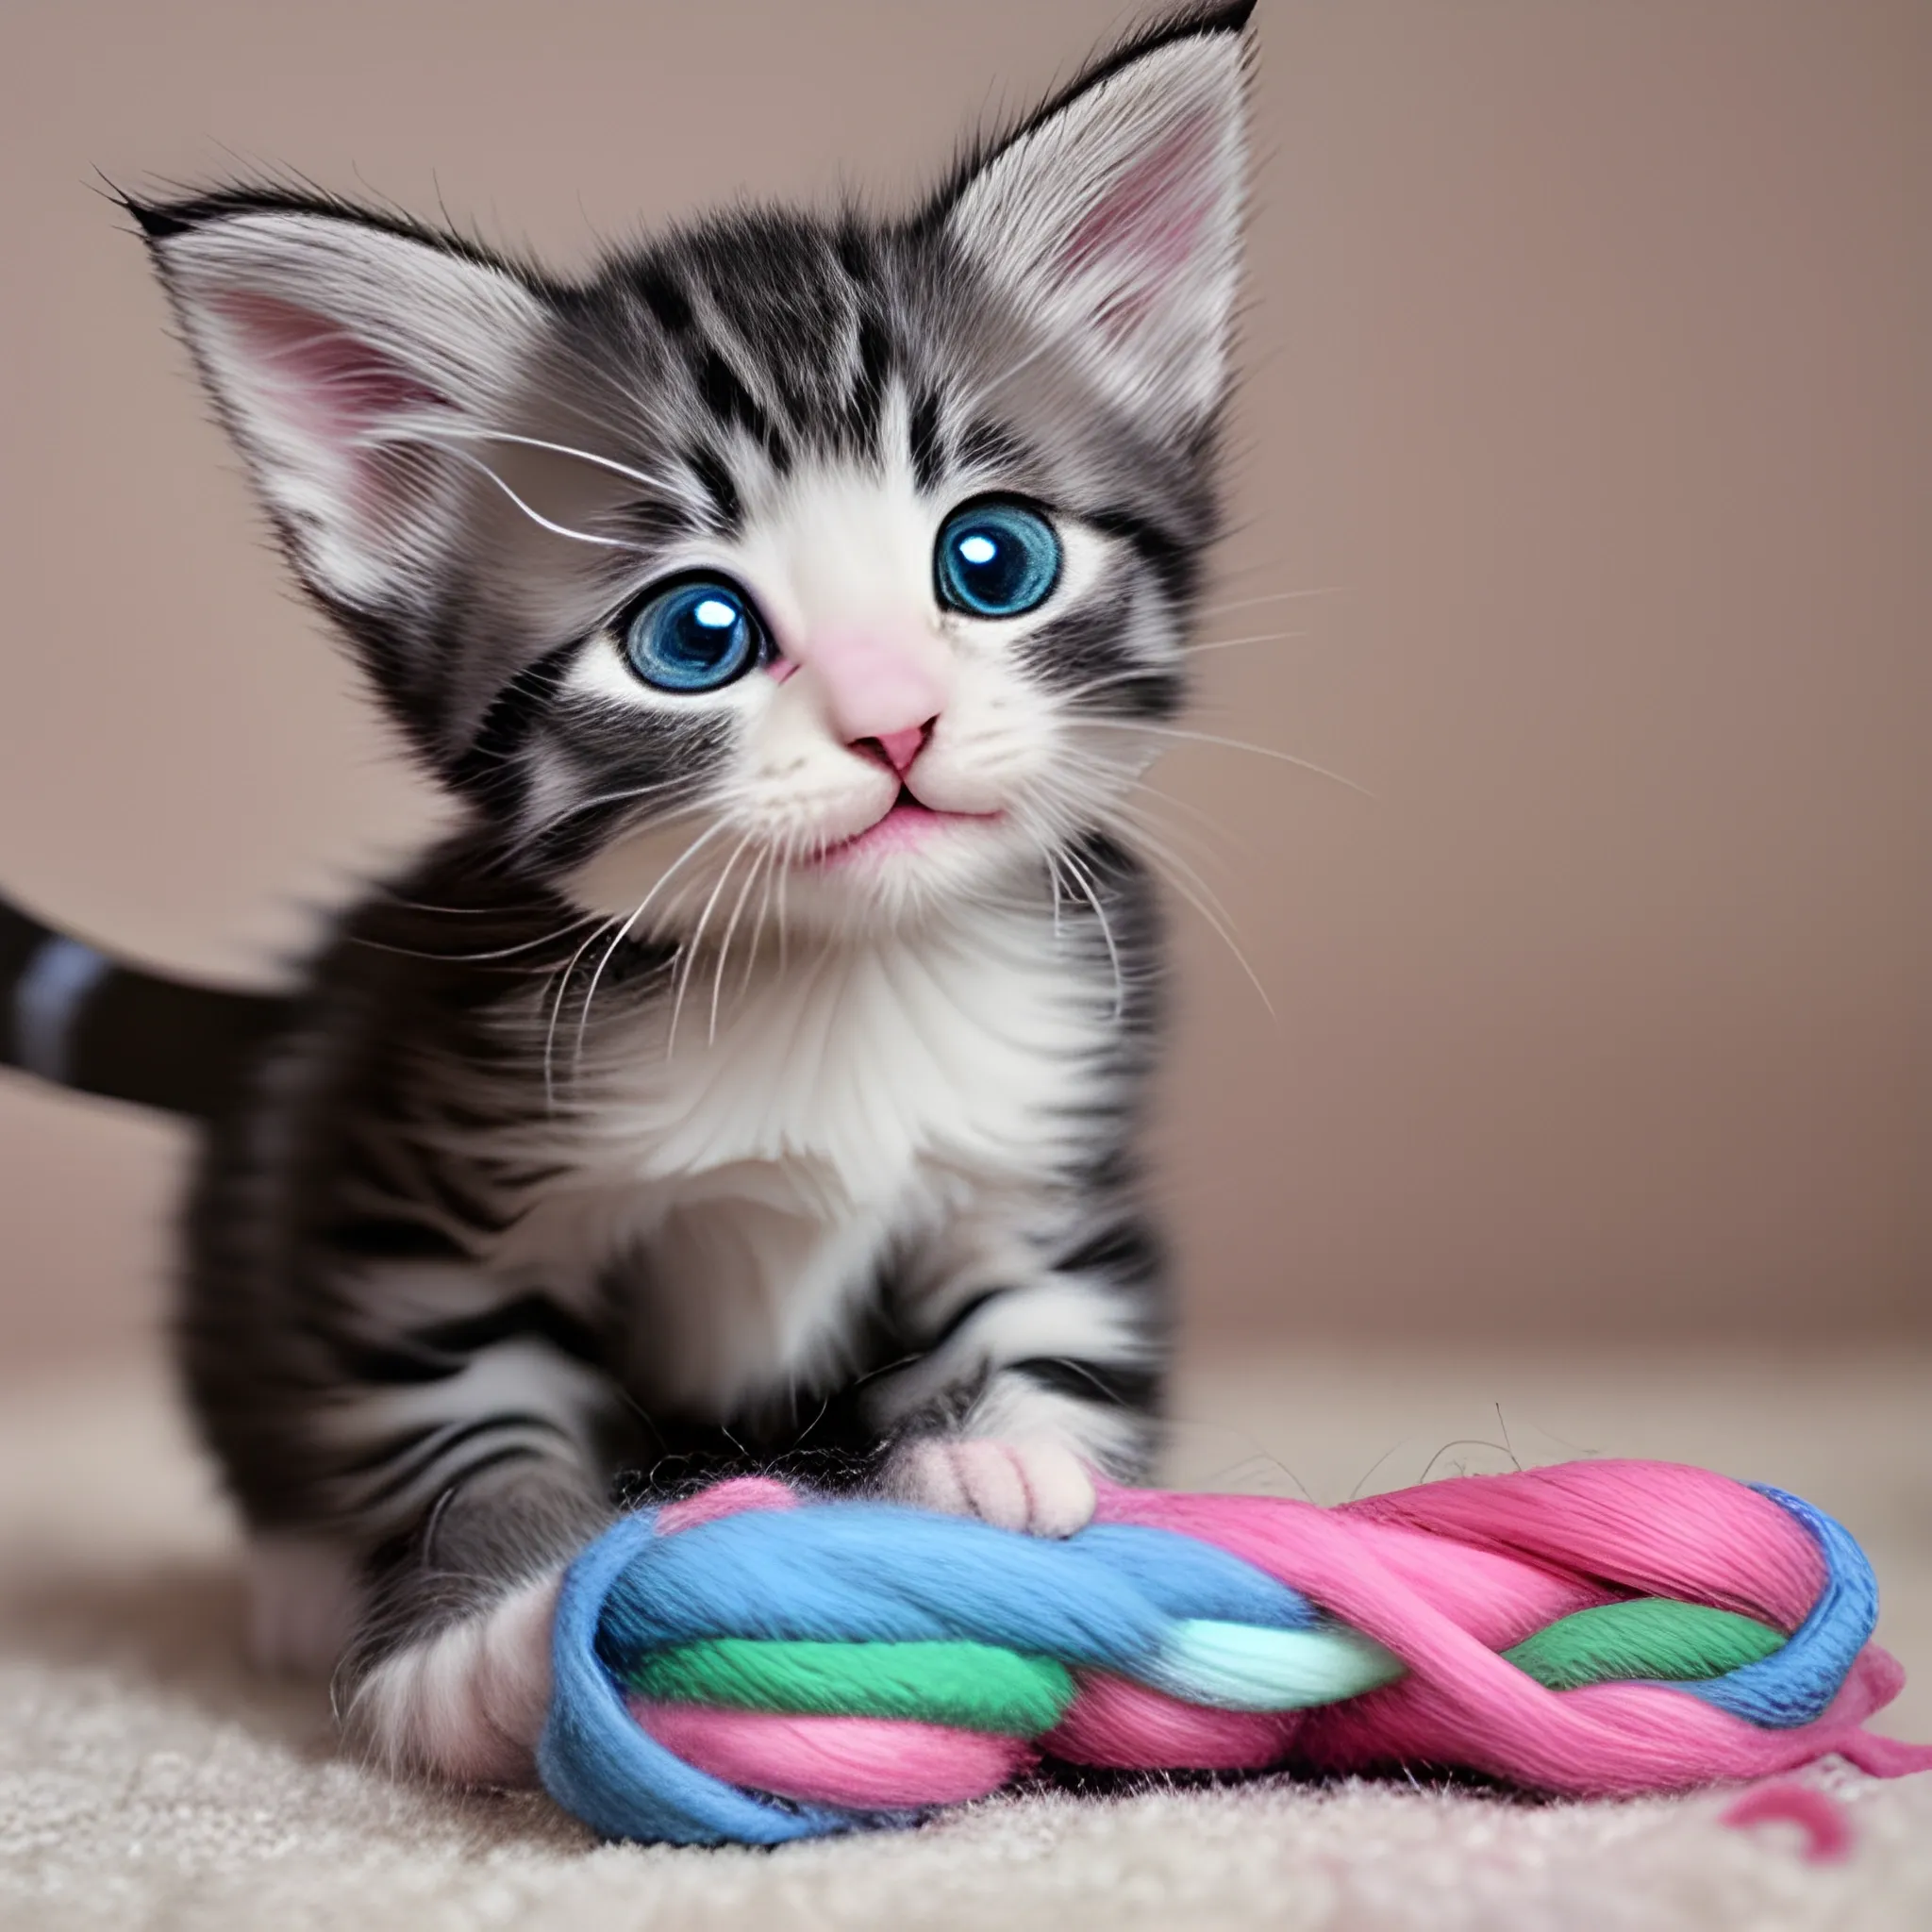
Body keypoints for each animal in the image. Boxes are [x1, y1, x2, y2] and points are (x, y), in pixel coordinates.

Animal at [0, 0, 1252, 1785]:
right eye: (696, 635)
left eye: (991, 559)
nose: (896, 721)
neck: (828, 976)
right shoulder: (418, 1189)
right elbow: (455, 1412)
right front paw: (471, 1636)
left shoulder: (1051, 1135)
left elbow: (1045, 1312)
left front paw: (1004, 1467)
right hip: (279, 1151)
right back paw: (304, 1578)